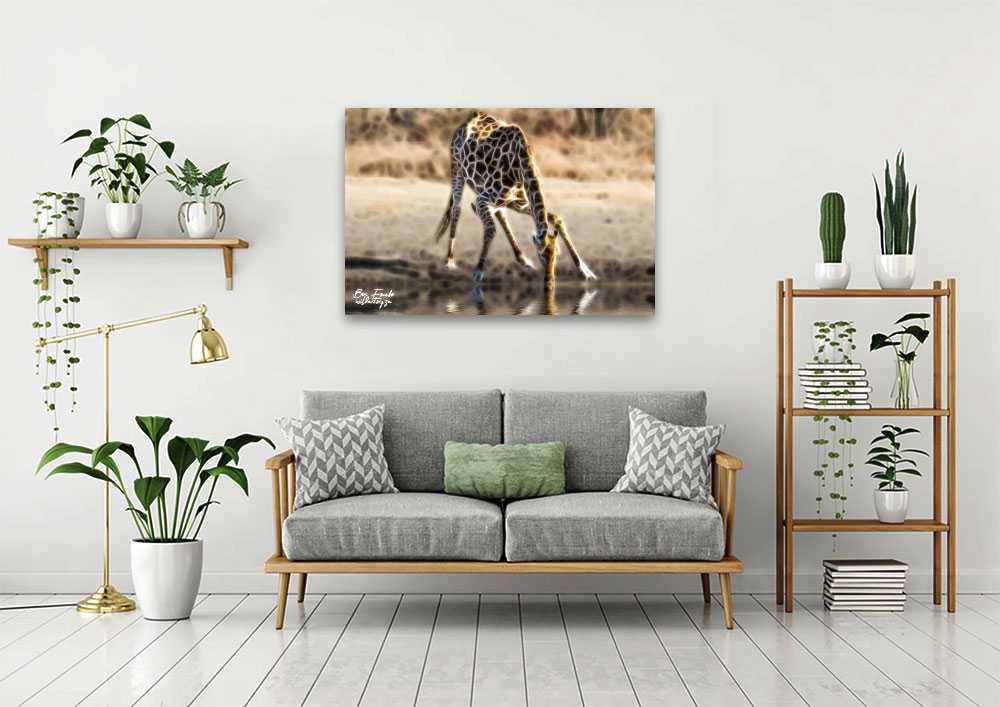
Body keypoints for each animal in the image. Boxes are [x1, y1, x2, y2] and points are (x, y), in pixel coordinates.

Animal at [433, 112, 597, 286]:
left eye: (557, 254)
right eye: (541, 256)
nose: (550, 281)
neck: (520, 165)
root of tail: (465, 122)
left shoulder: (520, 202)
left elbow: (556, 218)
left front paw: (586, 272)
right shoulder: (482, 199)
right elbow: (490, 228)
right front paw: (478, 270)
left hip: (503, 200)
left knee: (500, 214)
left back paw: (523, 258)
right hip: (457, 169)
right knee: (457, 209)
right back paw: (450, 261)